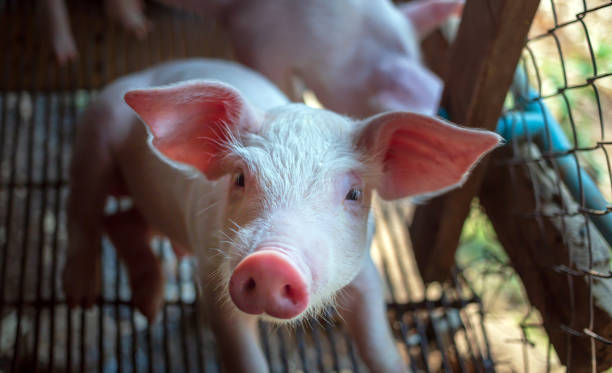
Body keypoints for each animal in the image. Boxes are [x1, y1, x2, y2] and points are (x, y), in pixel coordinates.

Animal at [64, 58, 500, 372]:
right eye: (240, 178)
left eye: (355, 193)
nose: (272, 261)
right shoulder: (213, 273)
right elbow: (241, 352)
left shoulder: (365, 269)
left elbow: (378, 343)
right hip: (94, 129)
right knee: (85, 207)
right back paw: (82, 298)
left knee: (121, 222)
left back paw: (149, 306)